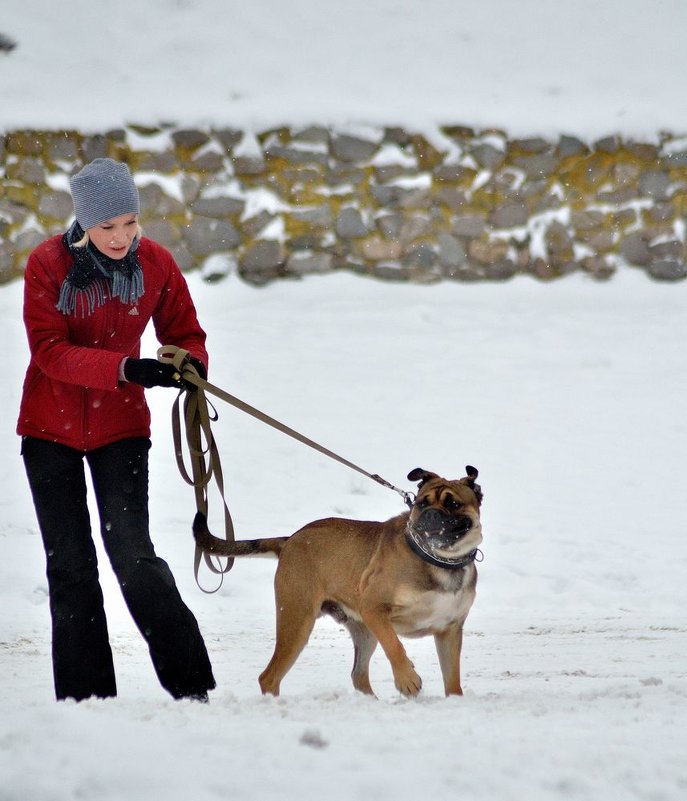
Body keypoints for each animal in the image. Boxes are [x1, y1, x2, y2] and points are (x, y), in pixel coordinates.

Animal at [194, 466, 484, 696]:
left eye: (453, 504)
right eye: (421, 503)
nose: (431, 514)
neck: (438, 560)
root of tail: (290, 540)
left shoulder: (450, 631)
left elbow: (452, 677)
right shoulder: (374, 608)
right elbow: (395, 646)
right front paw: (407, 678)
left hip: (363, 632)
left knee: (358, 676)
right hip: (297, 620)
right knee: (269, 677)